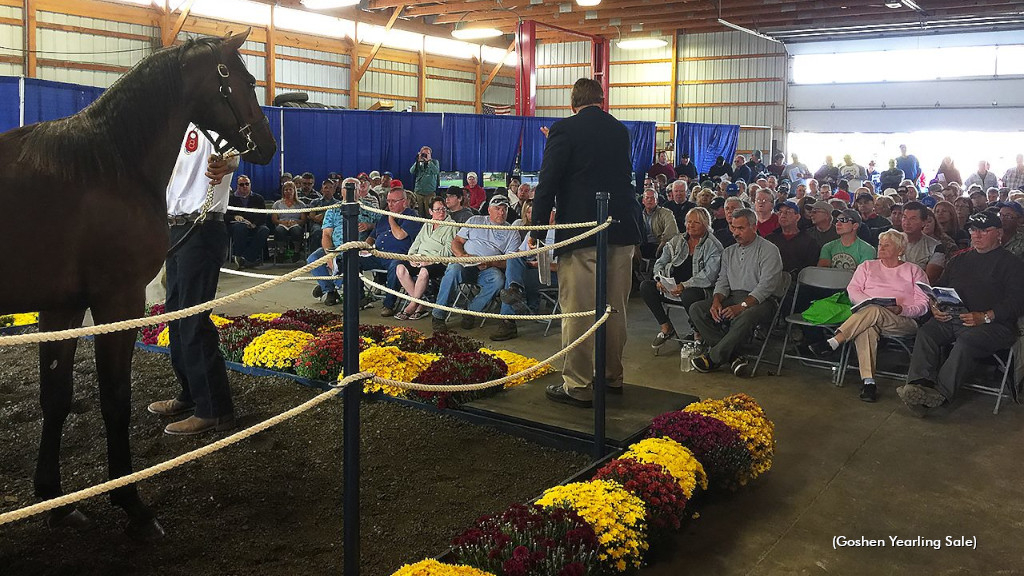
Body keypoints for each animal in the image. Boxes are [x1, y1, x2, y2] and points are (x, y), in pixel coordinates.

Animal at [0, 30, 276, 532]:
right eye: (247, 81)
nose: (267, 144)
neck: (104, 166)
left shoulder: (62, 306)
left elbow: (56, 398)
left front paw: (54, 499)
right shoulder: (117, 302)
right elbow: (114, 399)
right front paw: (131, 503)